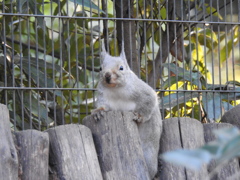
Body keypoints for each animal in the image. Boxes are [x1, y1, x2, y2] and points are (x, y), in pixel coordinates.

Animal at [93, 41, 162, 179]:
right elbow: (103, 106)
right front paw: (99, 112)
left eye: (121, 68)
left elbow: (149, 101)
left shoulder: (143, 92)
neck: (116, 89)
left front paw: (139, 116)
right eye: (100, 68)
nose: (107, 75)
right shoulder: (104, 97)